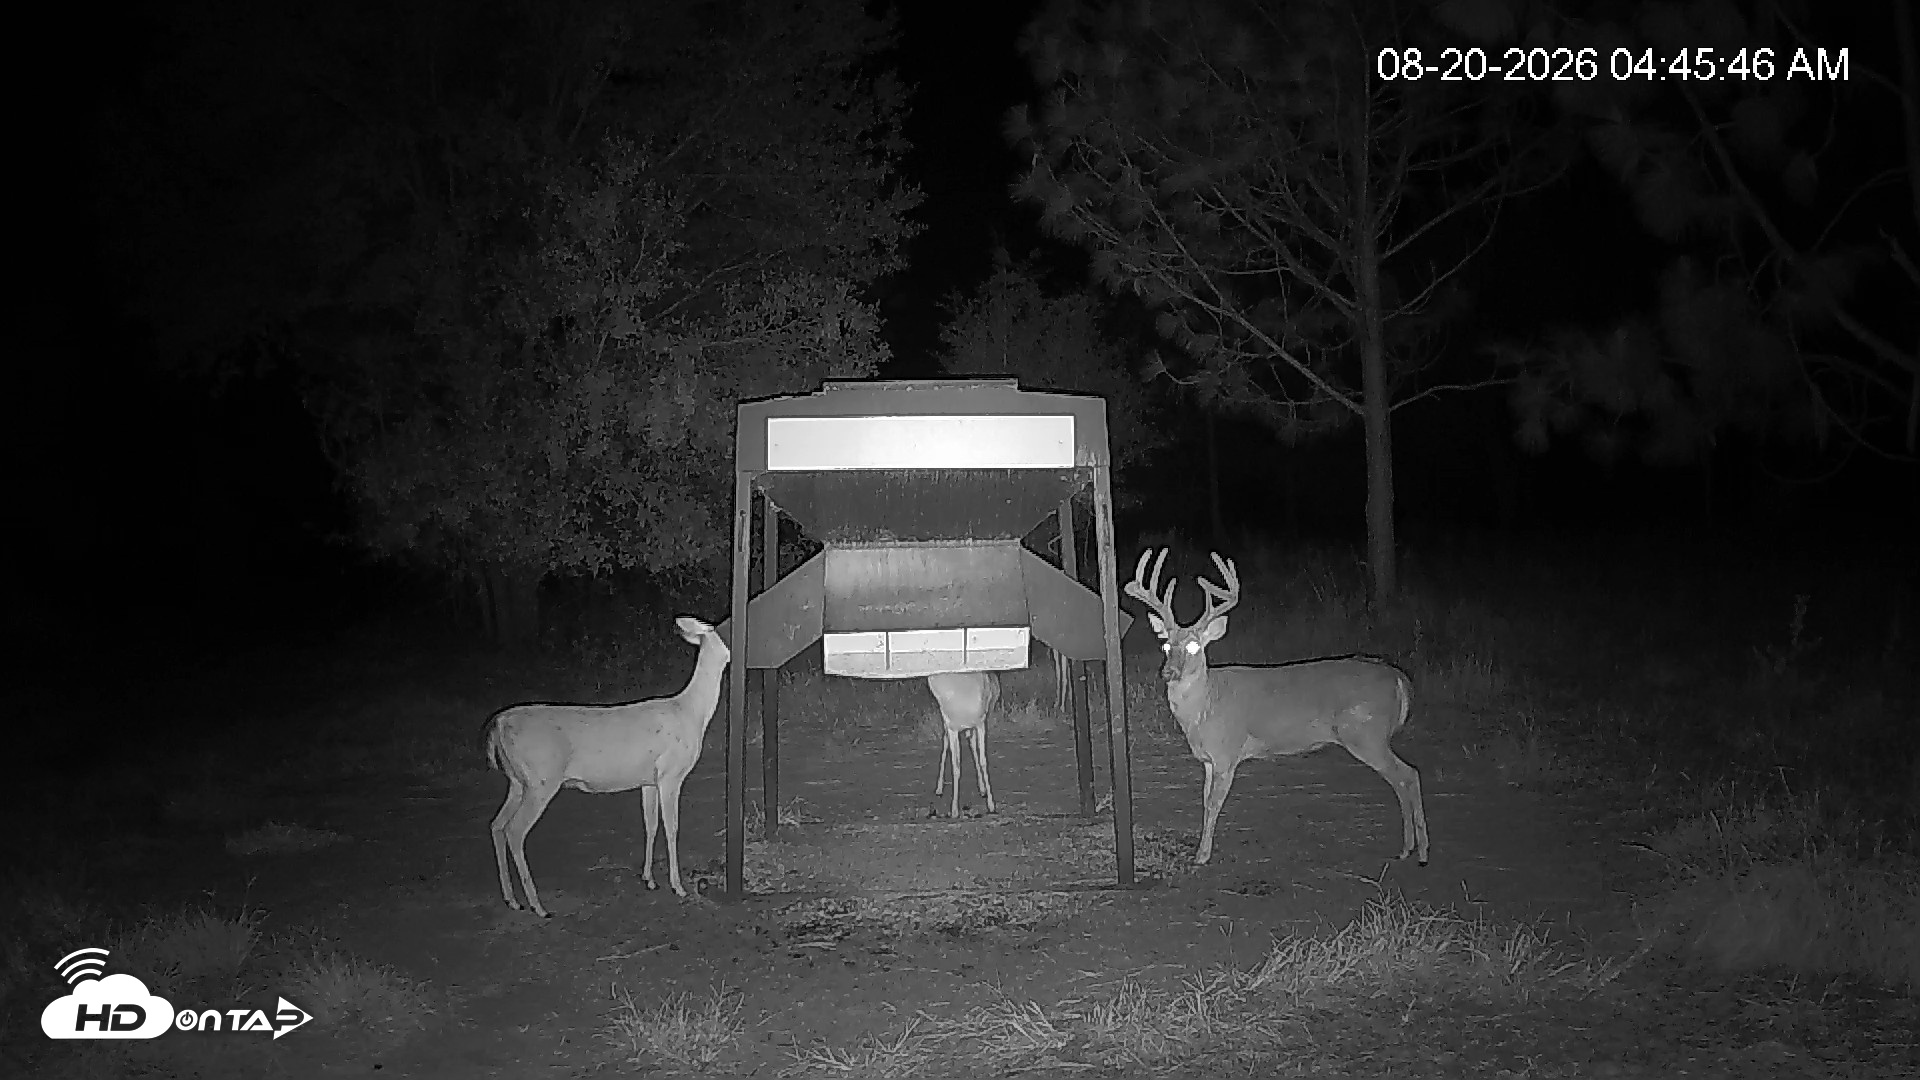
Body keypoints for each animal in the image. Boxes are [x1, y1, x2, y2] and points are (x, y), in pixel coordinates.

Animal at [485, 615, 730, 917]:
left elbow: (650, 824)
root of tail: (498, 723)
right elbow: (672, 827)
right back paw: (537, 905)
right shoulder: (671, 774)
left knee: (497, 825)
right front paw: (678, 886)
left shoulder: (649, 780)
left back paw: (512, 899)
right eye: (721, 628)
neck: (691, 713)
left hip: (518, 781)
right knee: (514, 830)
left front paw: (649, 879)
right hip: (541, 779)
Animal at [928, 671, 1001, 819]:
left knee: (972, 745)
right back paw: (939, 788)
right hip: (948, 725)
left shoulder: (980, 723)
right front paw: (954, 810)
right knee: (946, 742)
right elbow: (956, 766)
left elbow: (983, 761)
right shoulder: (952, 727)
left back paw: (983, 789)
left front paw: (991, 805)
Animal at [1124, 549, 1430, 867]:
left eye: (1194, 646)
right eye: (1165, 646)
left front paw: (1202, 855)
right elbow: (1204, 801)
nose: (1168, 672)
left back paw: (1419, 851)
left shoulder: (1227, 752)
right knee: (1404, 778)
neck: (1204, 708)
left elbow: (1213, 804)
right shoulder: (1208, 760)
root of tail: (1399, 678)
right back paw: (1408, 848)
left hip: (1367, 733)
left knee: (1408, 775)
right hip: (1370, 736)